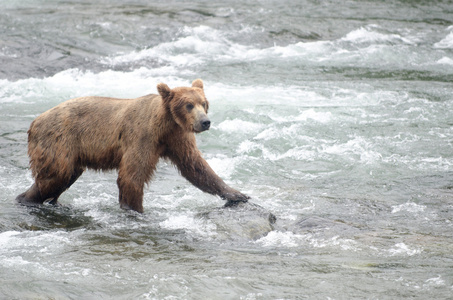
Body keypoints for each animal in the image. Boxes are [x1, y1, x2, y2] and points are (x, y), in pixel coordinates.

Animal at [15, 78, 249, 212]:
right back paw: (26, 198)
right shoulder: (143, 136)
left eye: (204, 103)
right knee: (56, 174)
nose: (205, 122)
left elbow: (196, 167)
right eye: (189, 105)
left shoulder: (177, 138)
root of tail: (35, 121)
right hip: (58, 139)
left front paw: (238, 194)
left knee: (65, 176)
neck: (166, 125)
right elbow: (132, 175)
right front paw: (136, 209)